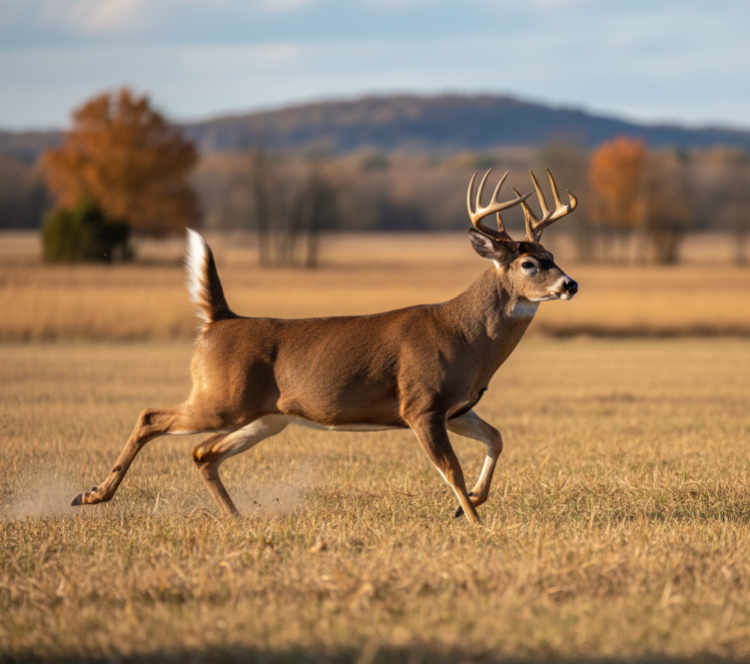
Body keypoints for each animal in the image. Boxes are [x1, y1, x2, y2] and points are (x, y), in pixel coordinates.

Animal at [71, 169, 578, 523]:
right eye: (530, 264)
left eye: (553, 256)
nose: (570, 284)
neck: (466, 339)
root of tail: (219, 320)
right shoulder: (420, 404)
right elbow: (450, 469)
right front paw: (474, 521)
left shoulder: (456, 408)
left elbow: (497, 437)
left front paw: (469, 504)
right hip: (221, 398)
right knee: (151, 417)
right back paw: (93, 494)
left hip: (266, 416)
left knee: (203, 452)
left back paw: (236, 518)